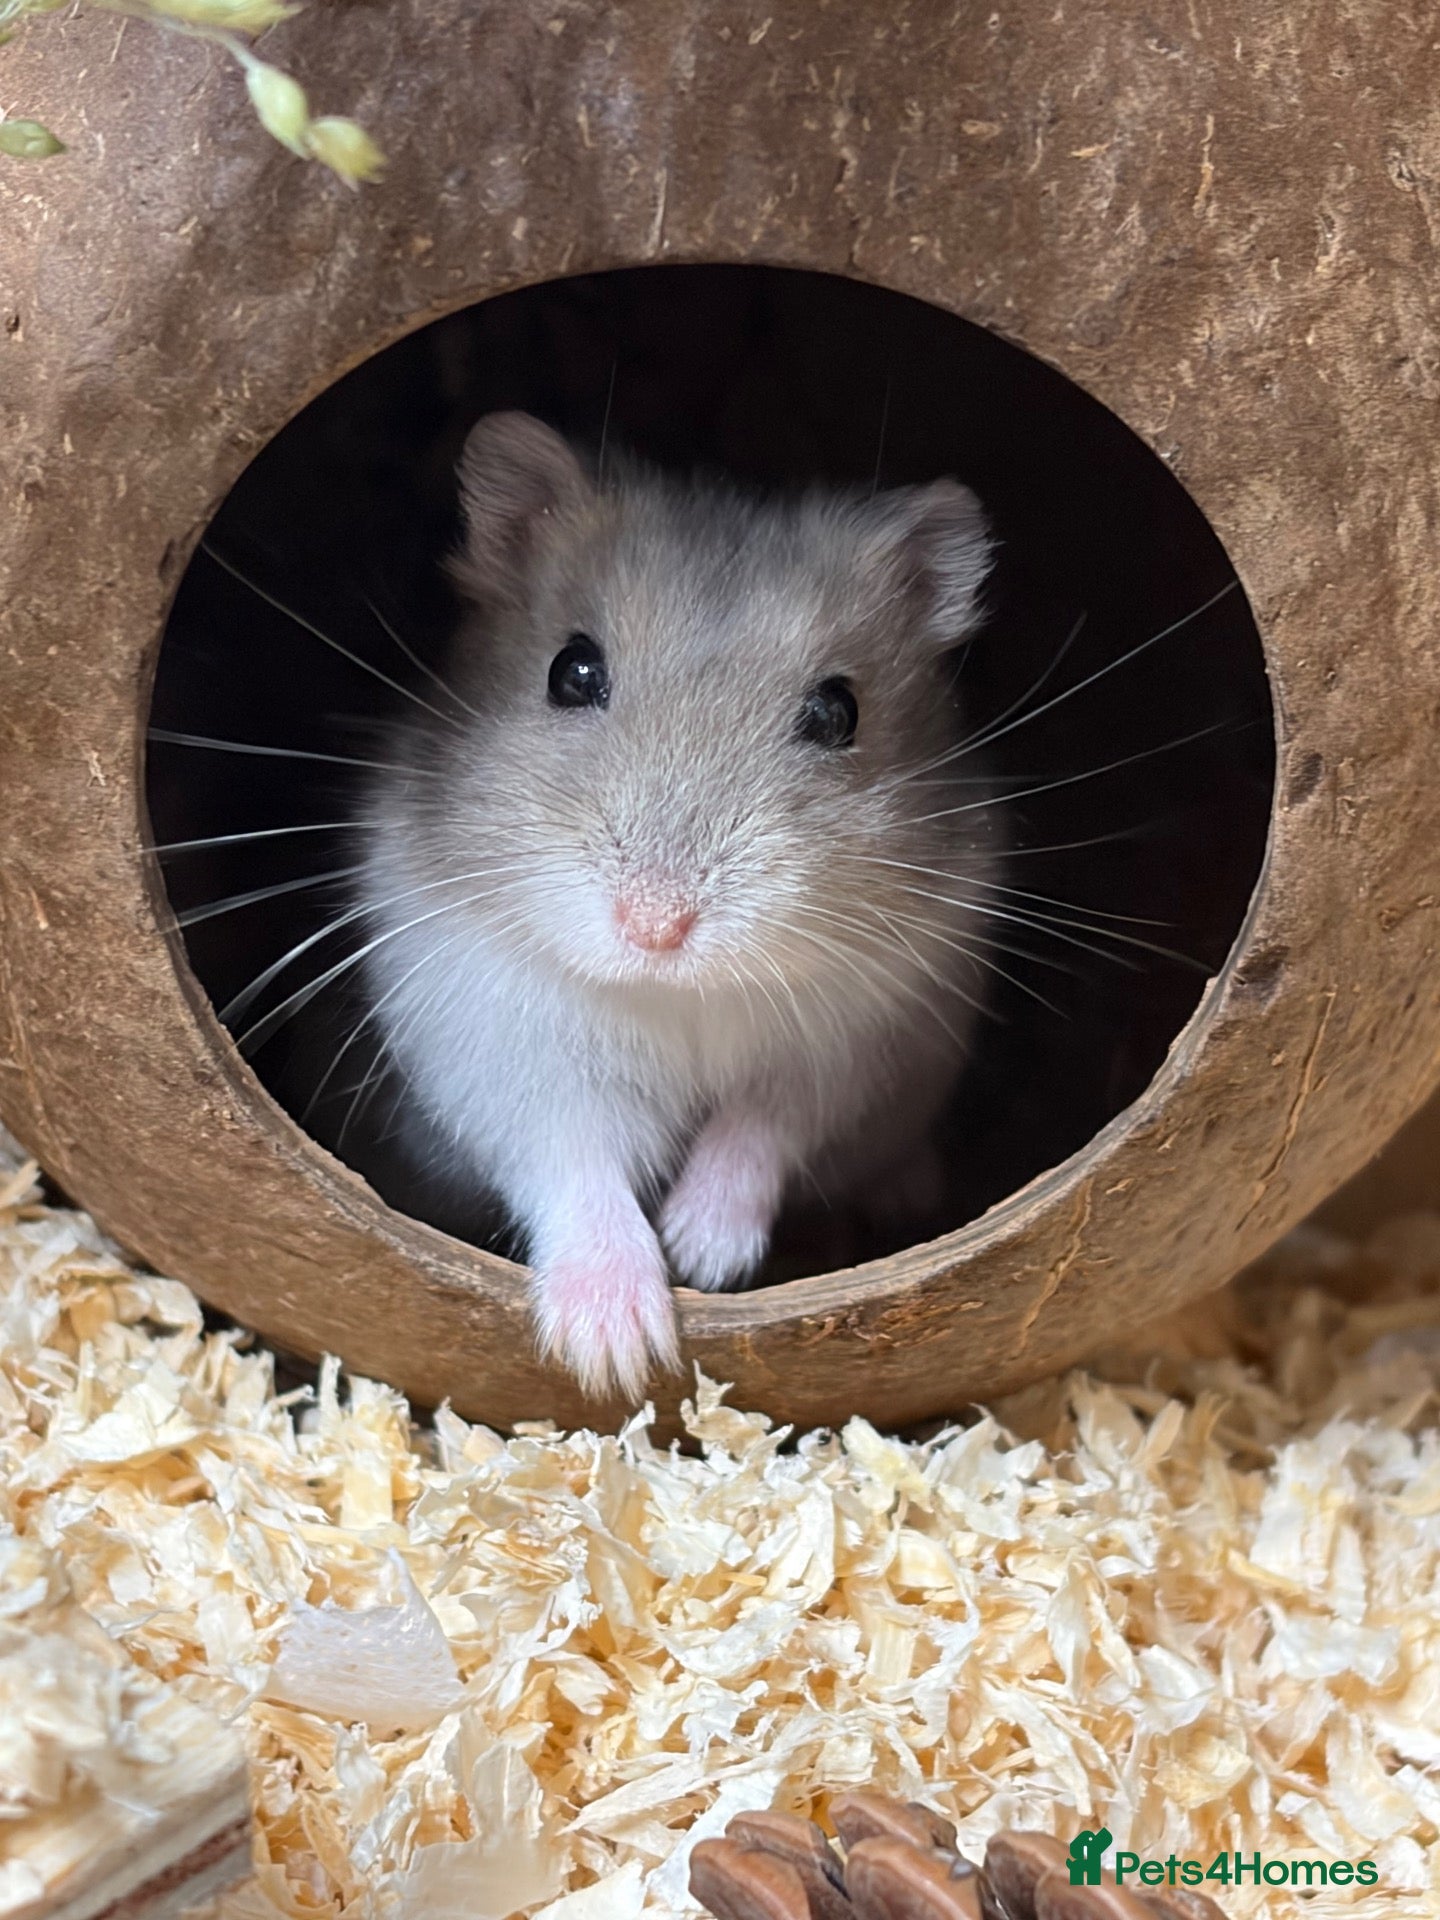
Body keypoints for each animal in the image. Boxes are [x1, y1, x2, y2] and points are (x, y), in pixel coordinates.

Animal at [357, 411, 999, 1400]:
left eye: (839, 712)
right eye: (571, 670)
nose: (655, 928)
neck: (677, 993)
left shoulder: (859, 1043)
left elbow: (763, 1125)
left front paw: (702, 1254)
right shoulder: (501, 1050)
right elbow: (571, 1160)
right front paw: (619, 1353)